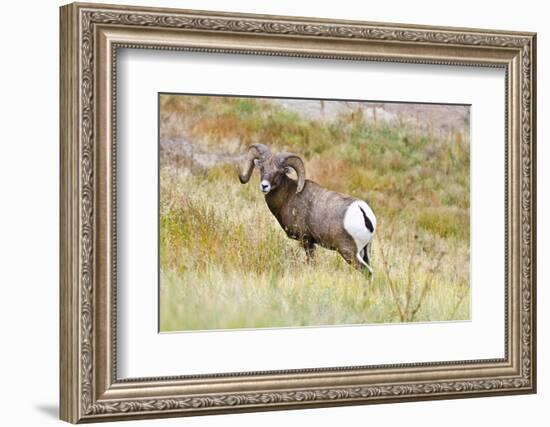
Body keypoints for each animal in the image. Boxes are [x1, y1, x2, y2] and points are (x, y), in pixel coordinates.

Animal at [239, 144, 378, 274]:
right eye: (262, 168)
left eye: (279, 172)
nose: (264, 186)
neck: (288, 196)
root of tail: (364, 213)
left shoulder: (306, 240)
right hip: (365, 252)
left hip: (349, 252)